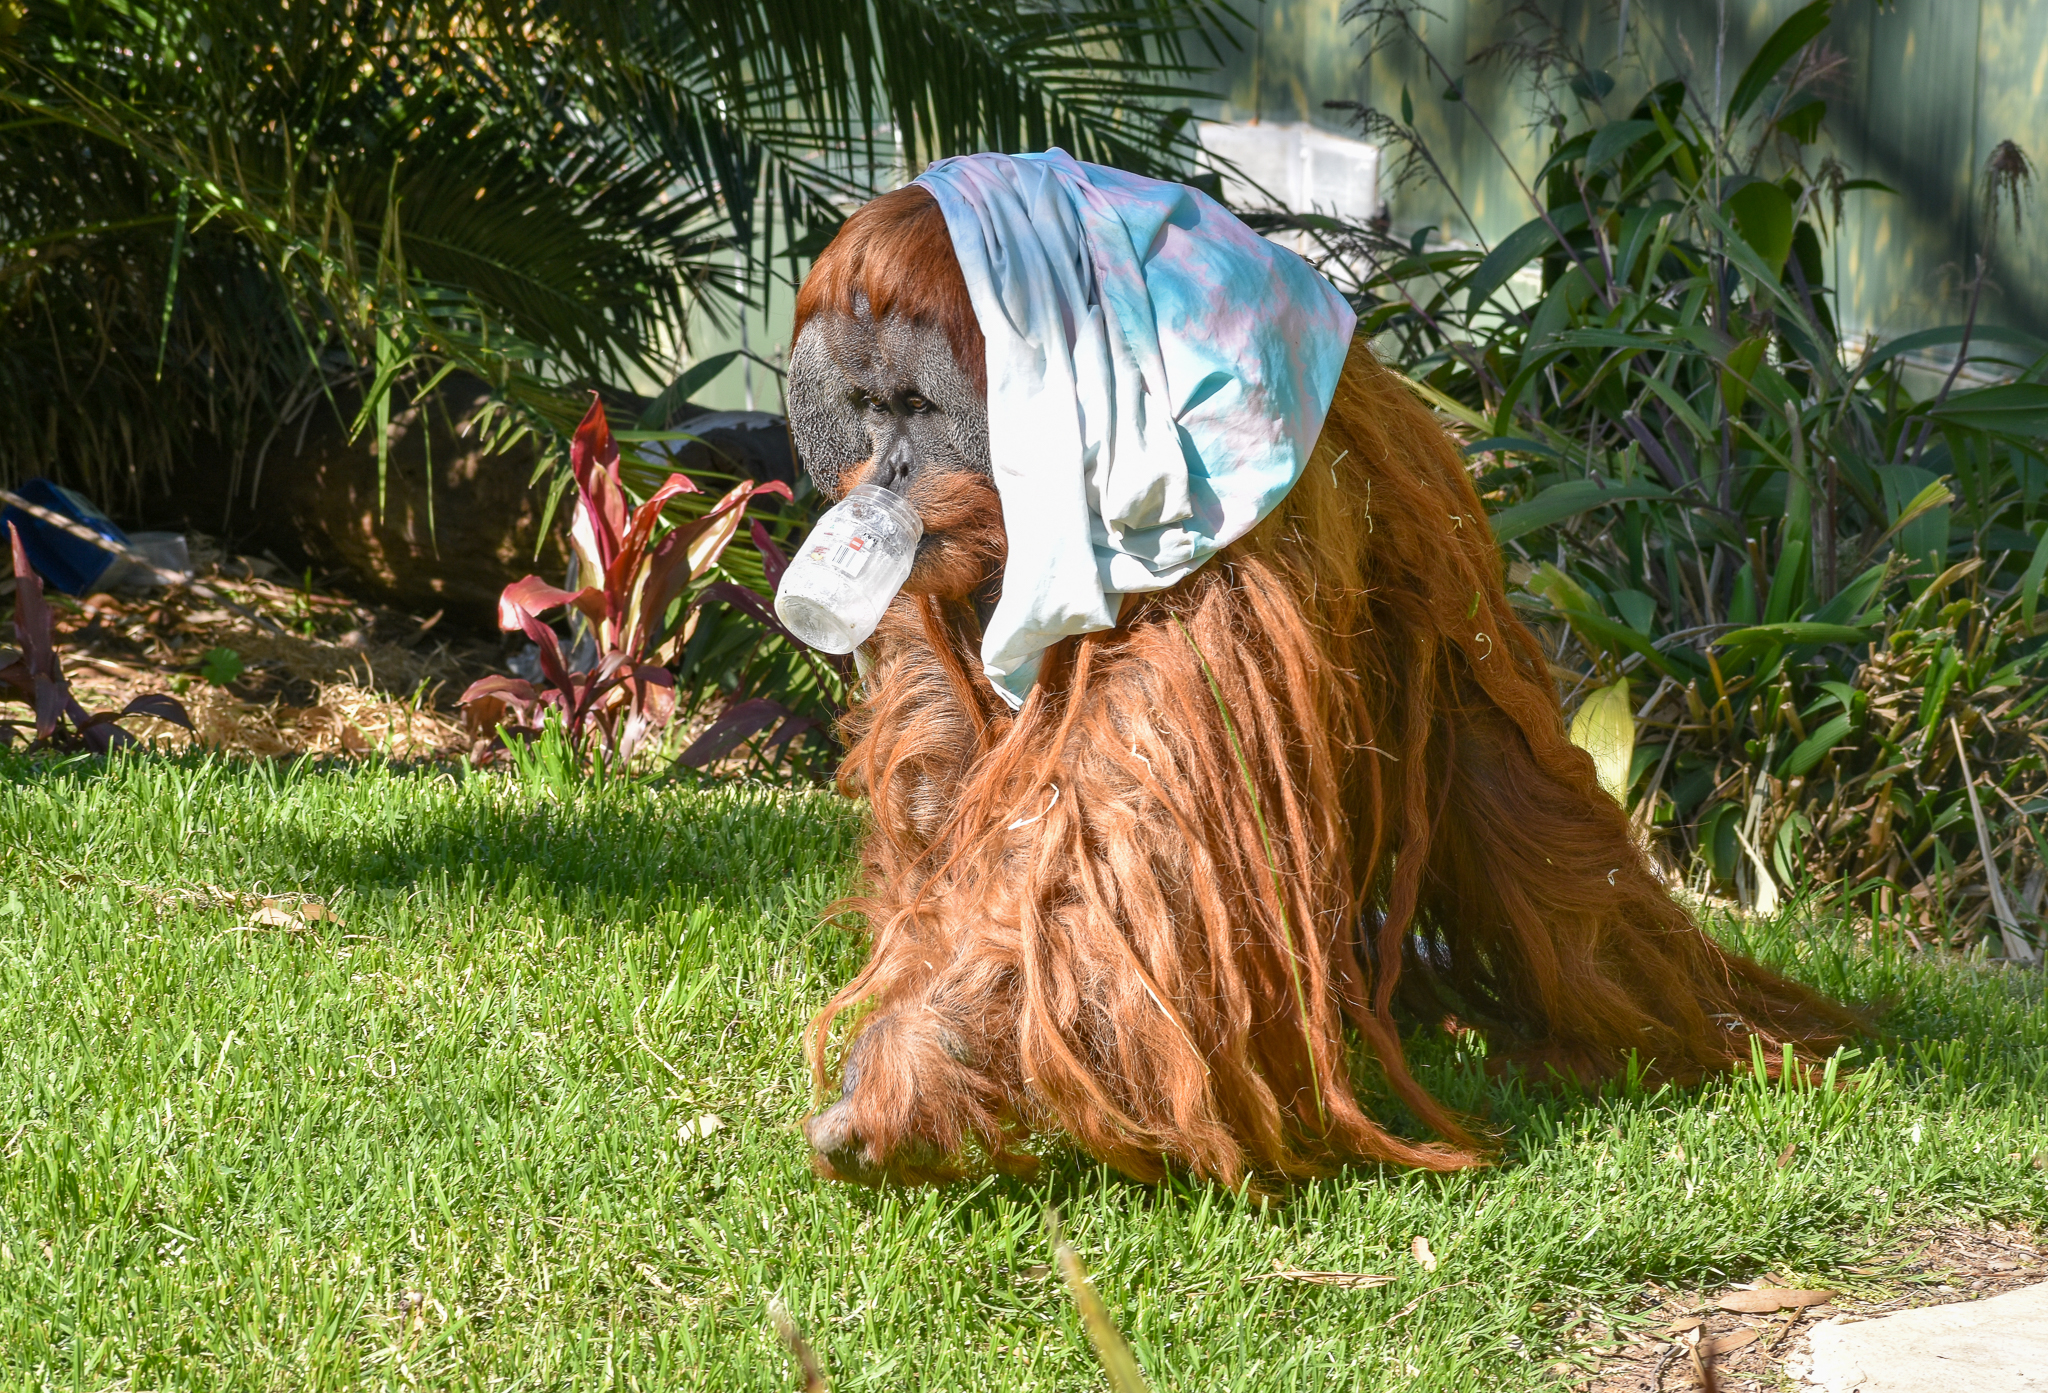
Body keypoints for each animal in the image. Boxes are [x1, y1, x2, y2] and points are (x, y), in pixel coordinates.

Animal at [782, 178, 1857, 1190]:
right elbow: (942, 705)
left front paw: (899, 1080)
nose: (888, 469)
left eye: (916, 406)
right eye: (865, 408)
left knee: (1526, 828)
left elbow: (1127, 819)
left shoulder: (1200, 504)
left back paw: (1672, 1029)